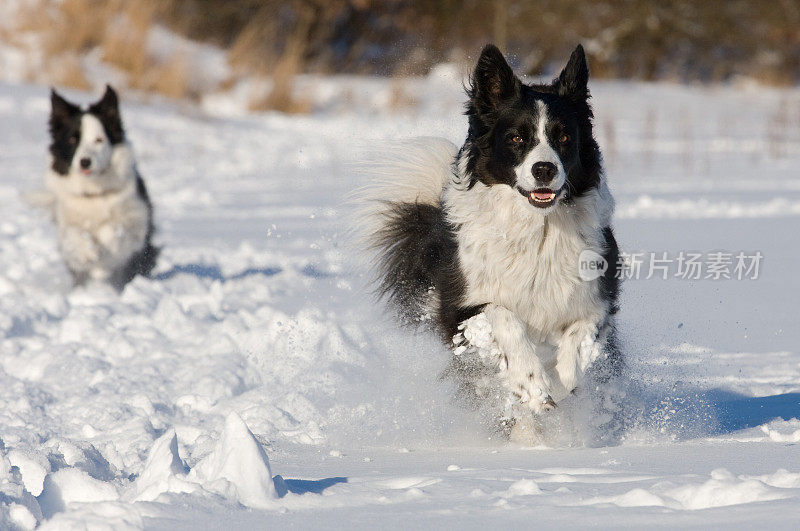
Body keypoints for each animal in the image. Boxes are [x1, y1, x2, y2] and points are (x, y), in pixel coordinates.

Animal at [42, 85, 158, 290]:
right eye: (73, 140)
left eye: (99, 140)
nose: (85, 161)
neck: (93, 192)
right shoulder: (66, 223)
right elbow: (73, 233)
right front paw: (87, 250)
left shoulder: (138, 226)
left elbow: (113, 228)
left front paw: (105, 244)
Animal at [360, 44, 620, 420]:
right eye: (516, 138)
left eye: (564, 137)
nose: (544, 169)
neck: (536, 227)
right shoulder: (459, 309)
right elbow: (503, 315)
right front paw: (532, 383)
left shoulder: (599, 296)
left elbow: (583, 329)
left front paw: (566, 374)